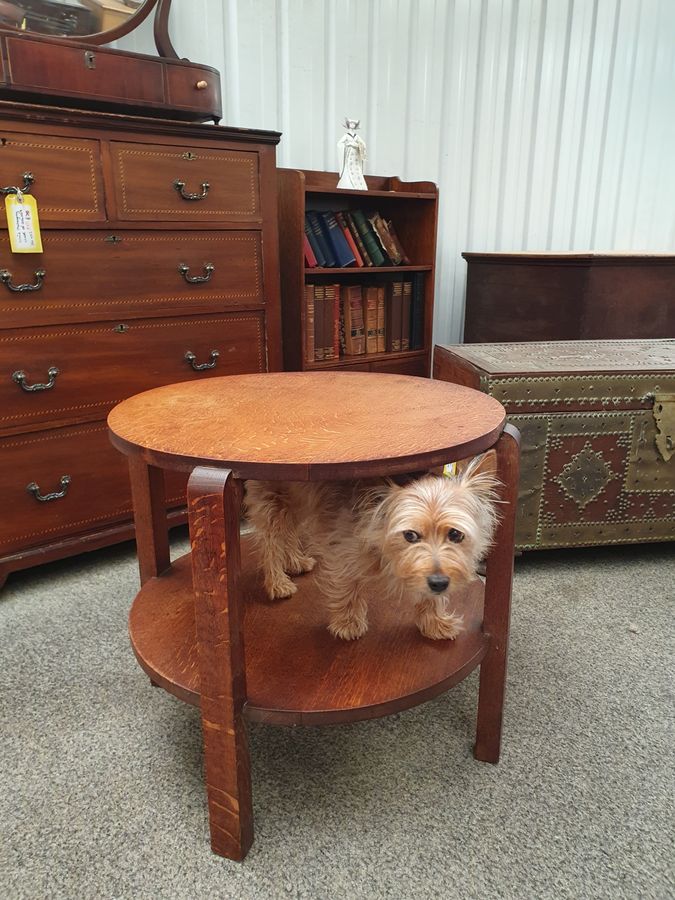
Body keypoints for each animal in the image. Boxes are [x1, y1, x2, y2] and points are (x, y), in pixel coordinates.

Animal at [246, 458, 500, 640]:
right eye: (410, 535)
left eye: (455, 534)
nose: (439, 582)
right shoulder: (343, 549)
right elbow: (348, 584)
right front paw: (347, 623)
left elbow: (431, 595)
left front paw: (434, 622)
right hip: (273, 501)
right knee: (270, 541)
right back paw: (278, 582)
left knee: (289, 531)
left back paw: (295, 562)